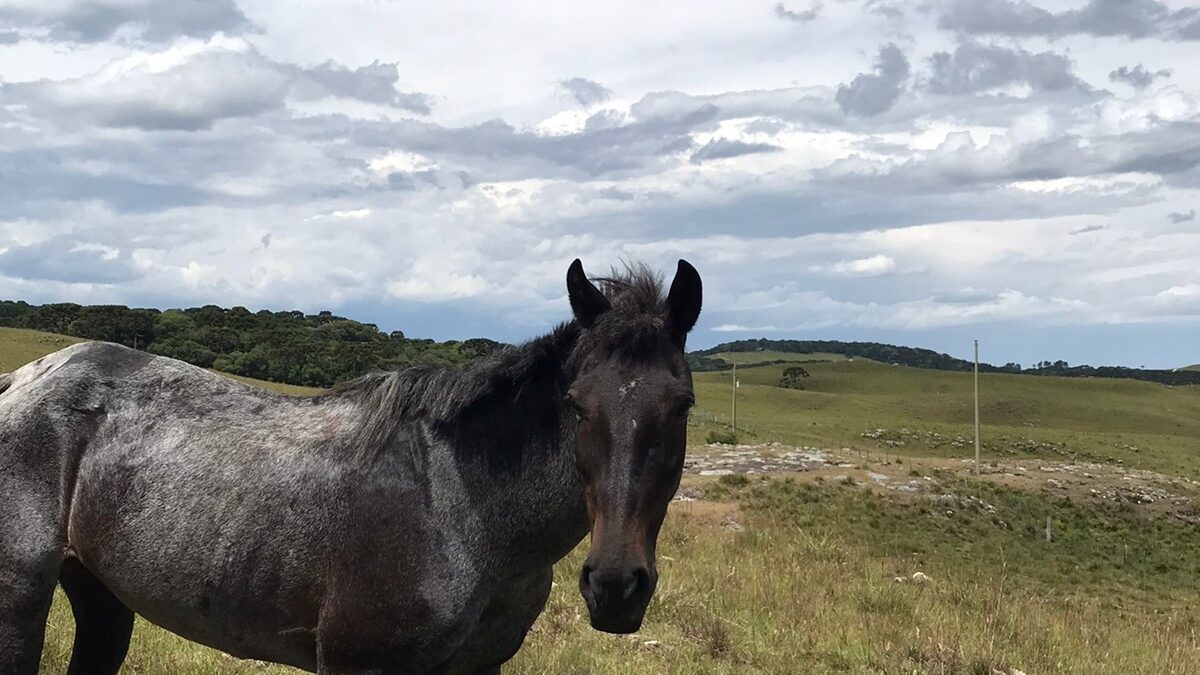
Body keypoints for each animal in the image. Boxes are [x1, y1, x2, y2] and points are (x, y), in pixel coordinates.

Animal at [0, 258, 700, 672]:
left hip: (100, 592)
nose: (615, 587)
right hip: (19, 600)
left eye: (682, 404)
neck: (463, 502)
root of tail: (25, 381)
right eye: (576, 404)